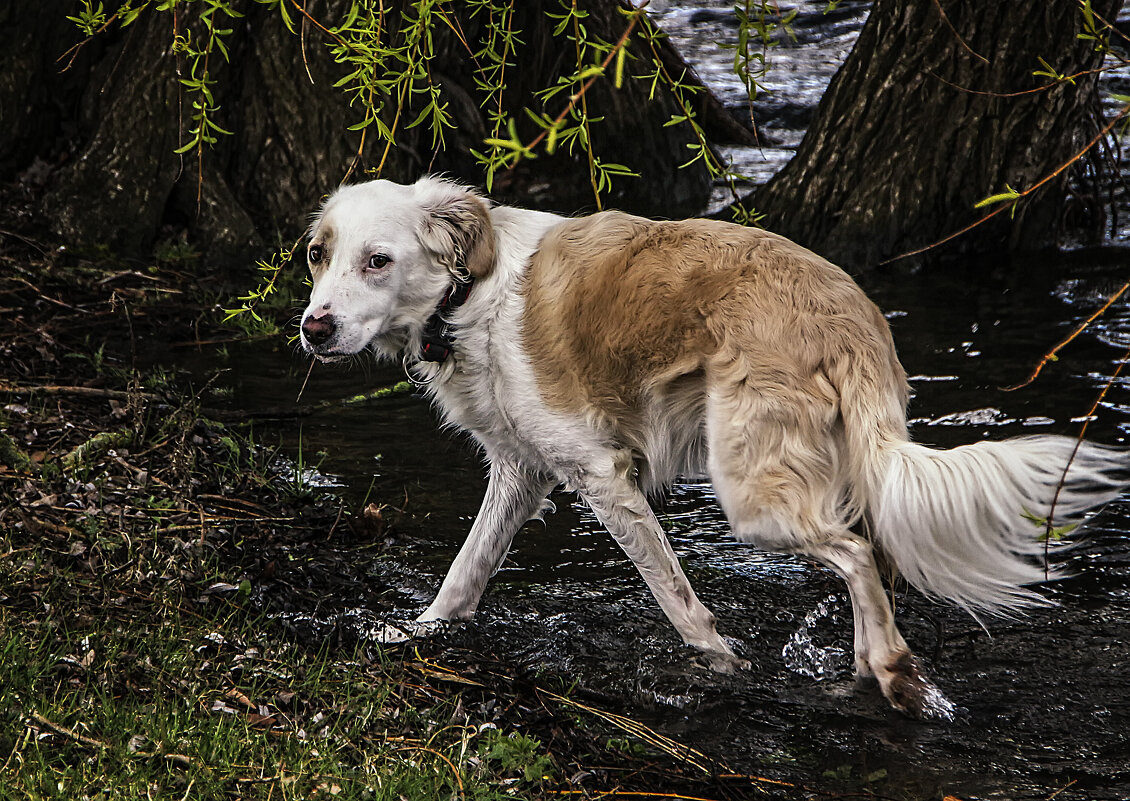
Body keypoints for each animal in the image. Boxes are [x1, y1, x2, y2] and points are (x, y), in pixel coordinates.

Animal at [296, 175, 1125, 718]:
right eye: (317, 254)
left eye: (378, 259)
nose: (314, 328)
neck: (468, 295)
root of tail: (848, 314)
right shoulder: (521, 472)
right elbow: (464, 575)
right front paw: (417, 632)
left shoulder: (603, 475)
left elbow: (680, 603)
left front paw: (723, 667)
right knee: (875, 558)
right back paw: (868, 665)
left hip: (752, 493)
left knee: (855, 554)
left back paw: (893, 672)